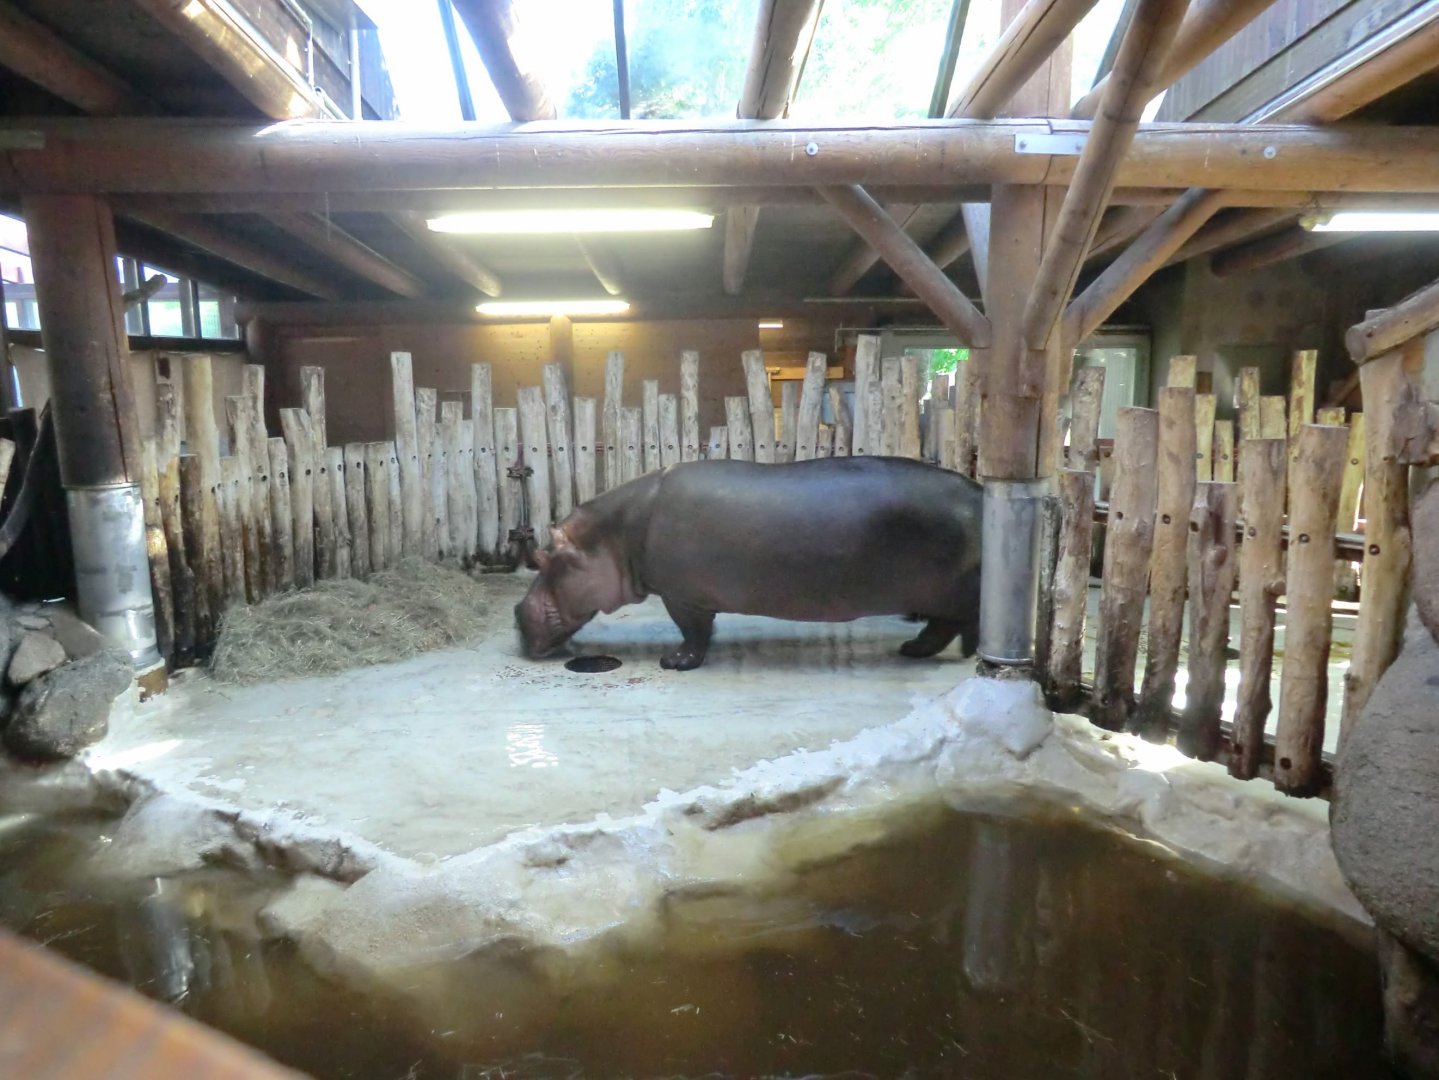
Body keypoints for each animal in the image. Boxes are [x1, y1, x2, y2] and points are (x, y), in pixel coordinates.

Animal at [515, 456, 983, 670]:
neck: (615, 533)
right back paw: (914, 649)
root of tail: (978, 492)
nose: (517, 612)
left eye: (543, 556)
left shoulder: (681, 595)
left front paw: (675, 662)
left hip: (956, 591)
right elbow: (704, 629)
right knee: (944, 626)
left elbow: (693, 632)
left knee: (960, 622)